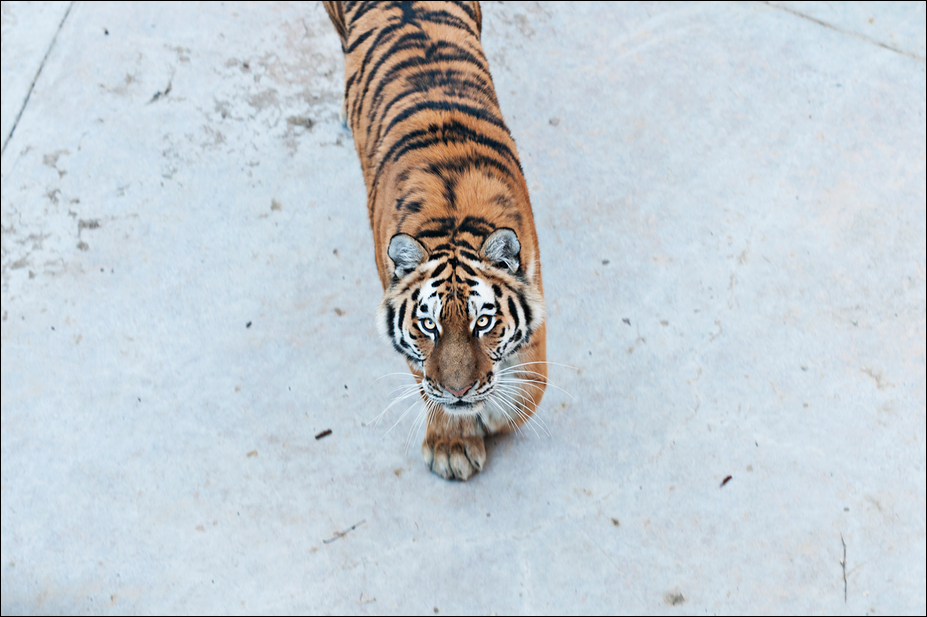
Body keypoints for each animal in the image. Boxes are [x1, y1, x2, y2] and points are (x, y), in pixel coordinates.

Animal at [323, 0, 547, 481]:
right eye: (428, 325)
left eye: (484, 322)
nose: (460, 392)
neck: (453, 222)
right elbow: (426, 382)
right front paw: (453, 444)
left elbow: (530, 386)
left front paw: (494, 413)